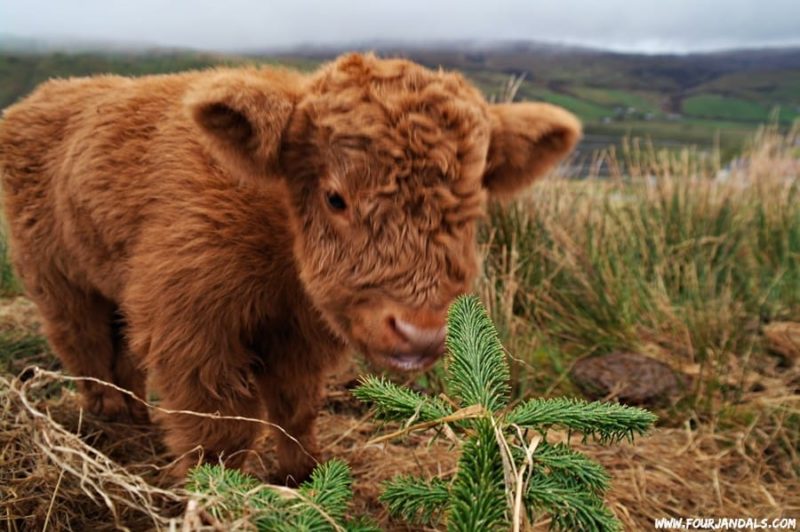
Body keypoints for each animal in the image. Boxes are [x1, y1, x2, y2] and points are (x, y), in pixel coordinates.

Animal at [0, 54, 580, 482]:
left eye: (472, 208)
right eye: (336, 197)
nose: (419, 332)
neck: (280, 243)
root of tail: (48, 93)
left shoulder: (300, 334)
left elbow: (296, 406)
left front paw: (302, 475)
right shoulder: (190, 326)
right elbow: (220, 426)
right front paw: (221, 494)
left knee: (118, 357)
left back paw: (133, 419)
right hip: (55, 276)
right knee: (83, 345)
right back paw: (110, 421)